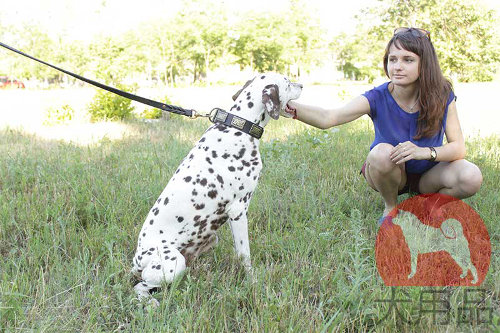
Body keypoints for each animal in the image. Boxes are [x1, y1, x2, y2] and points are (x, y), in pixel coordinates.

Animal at [132, 72, 300, 304]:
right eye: (288, 81)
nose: (302, 85)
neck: (238, 127)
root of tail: (137, 261)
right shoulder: (238, 211)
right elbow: (244, 255)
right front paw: (253, 281)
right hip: (173, 262)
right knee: (140, 288)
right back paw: (151, 303)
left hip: (210, 240)